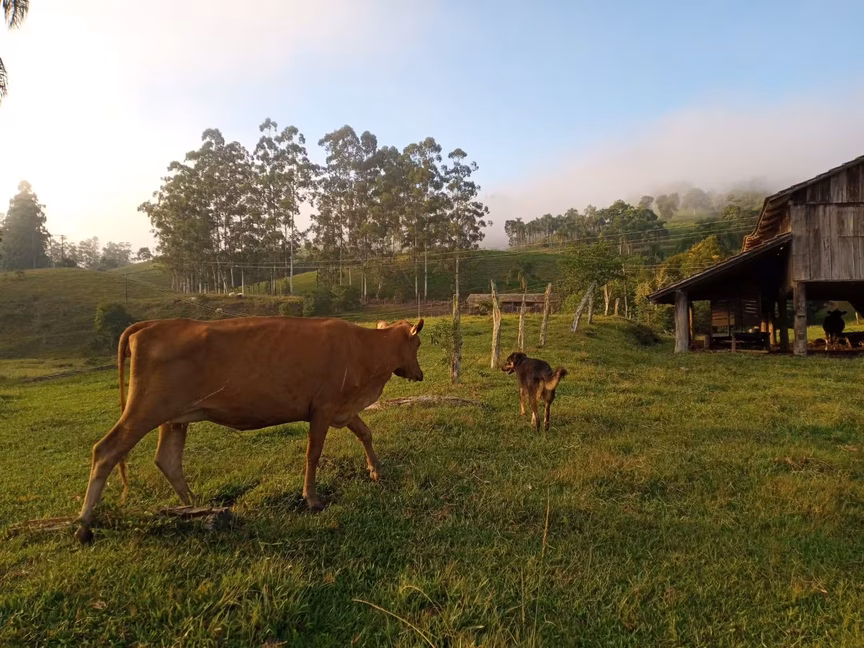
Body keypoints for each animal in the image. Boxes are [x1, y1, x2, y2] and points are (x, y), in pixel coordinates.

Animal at [74, 316, 425, 544]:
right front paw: (312, 498)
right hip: (145, 410)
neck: (364, 349)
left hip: (175, 417)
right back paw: (83, 526)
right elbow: (313, 454)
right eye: (418, 343)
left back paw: (199, 508)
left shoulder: (342, 408)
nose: (419, 374)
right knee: (106, 451)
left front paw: (376, 470)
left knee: (167, 460)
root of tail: (152, 324)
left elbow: (365, 433)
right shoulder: (323, 409)